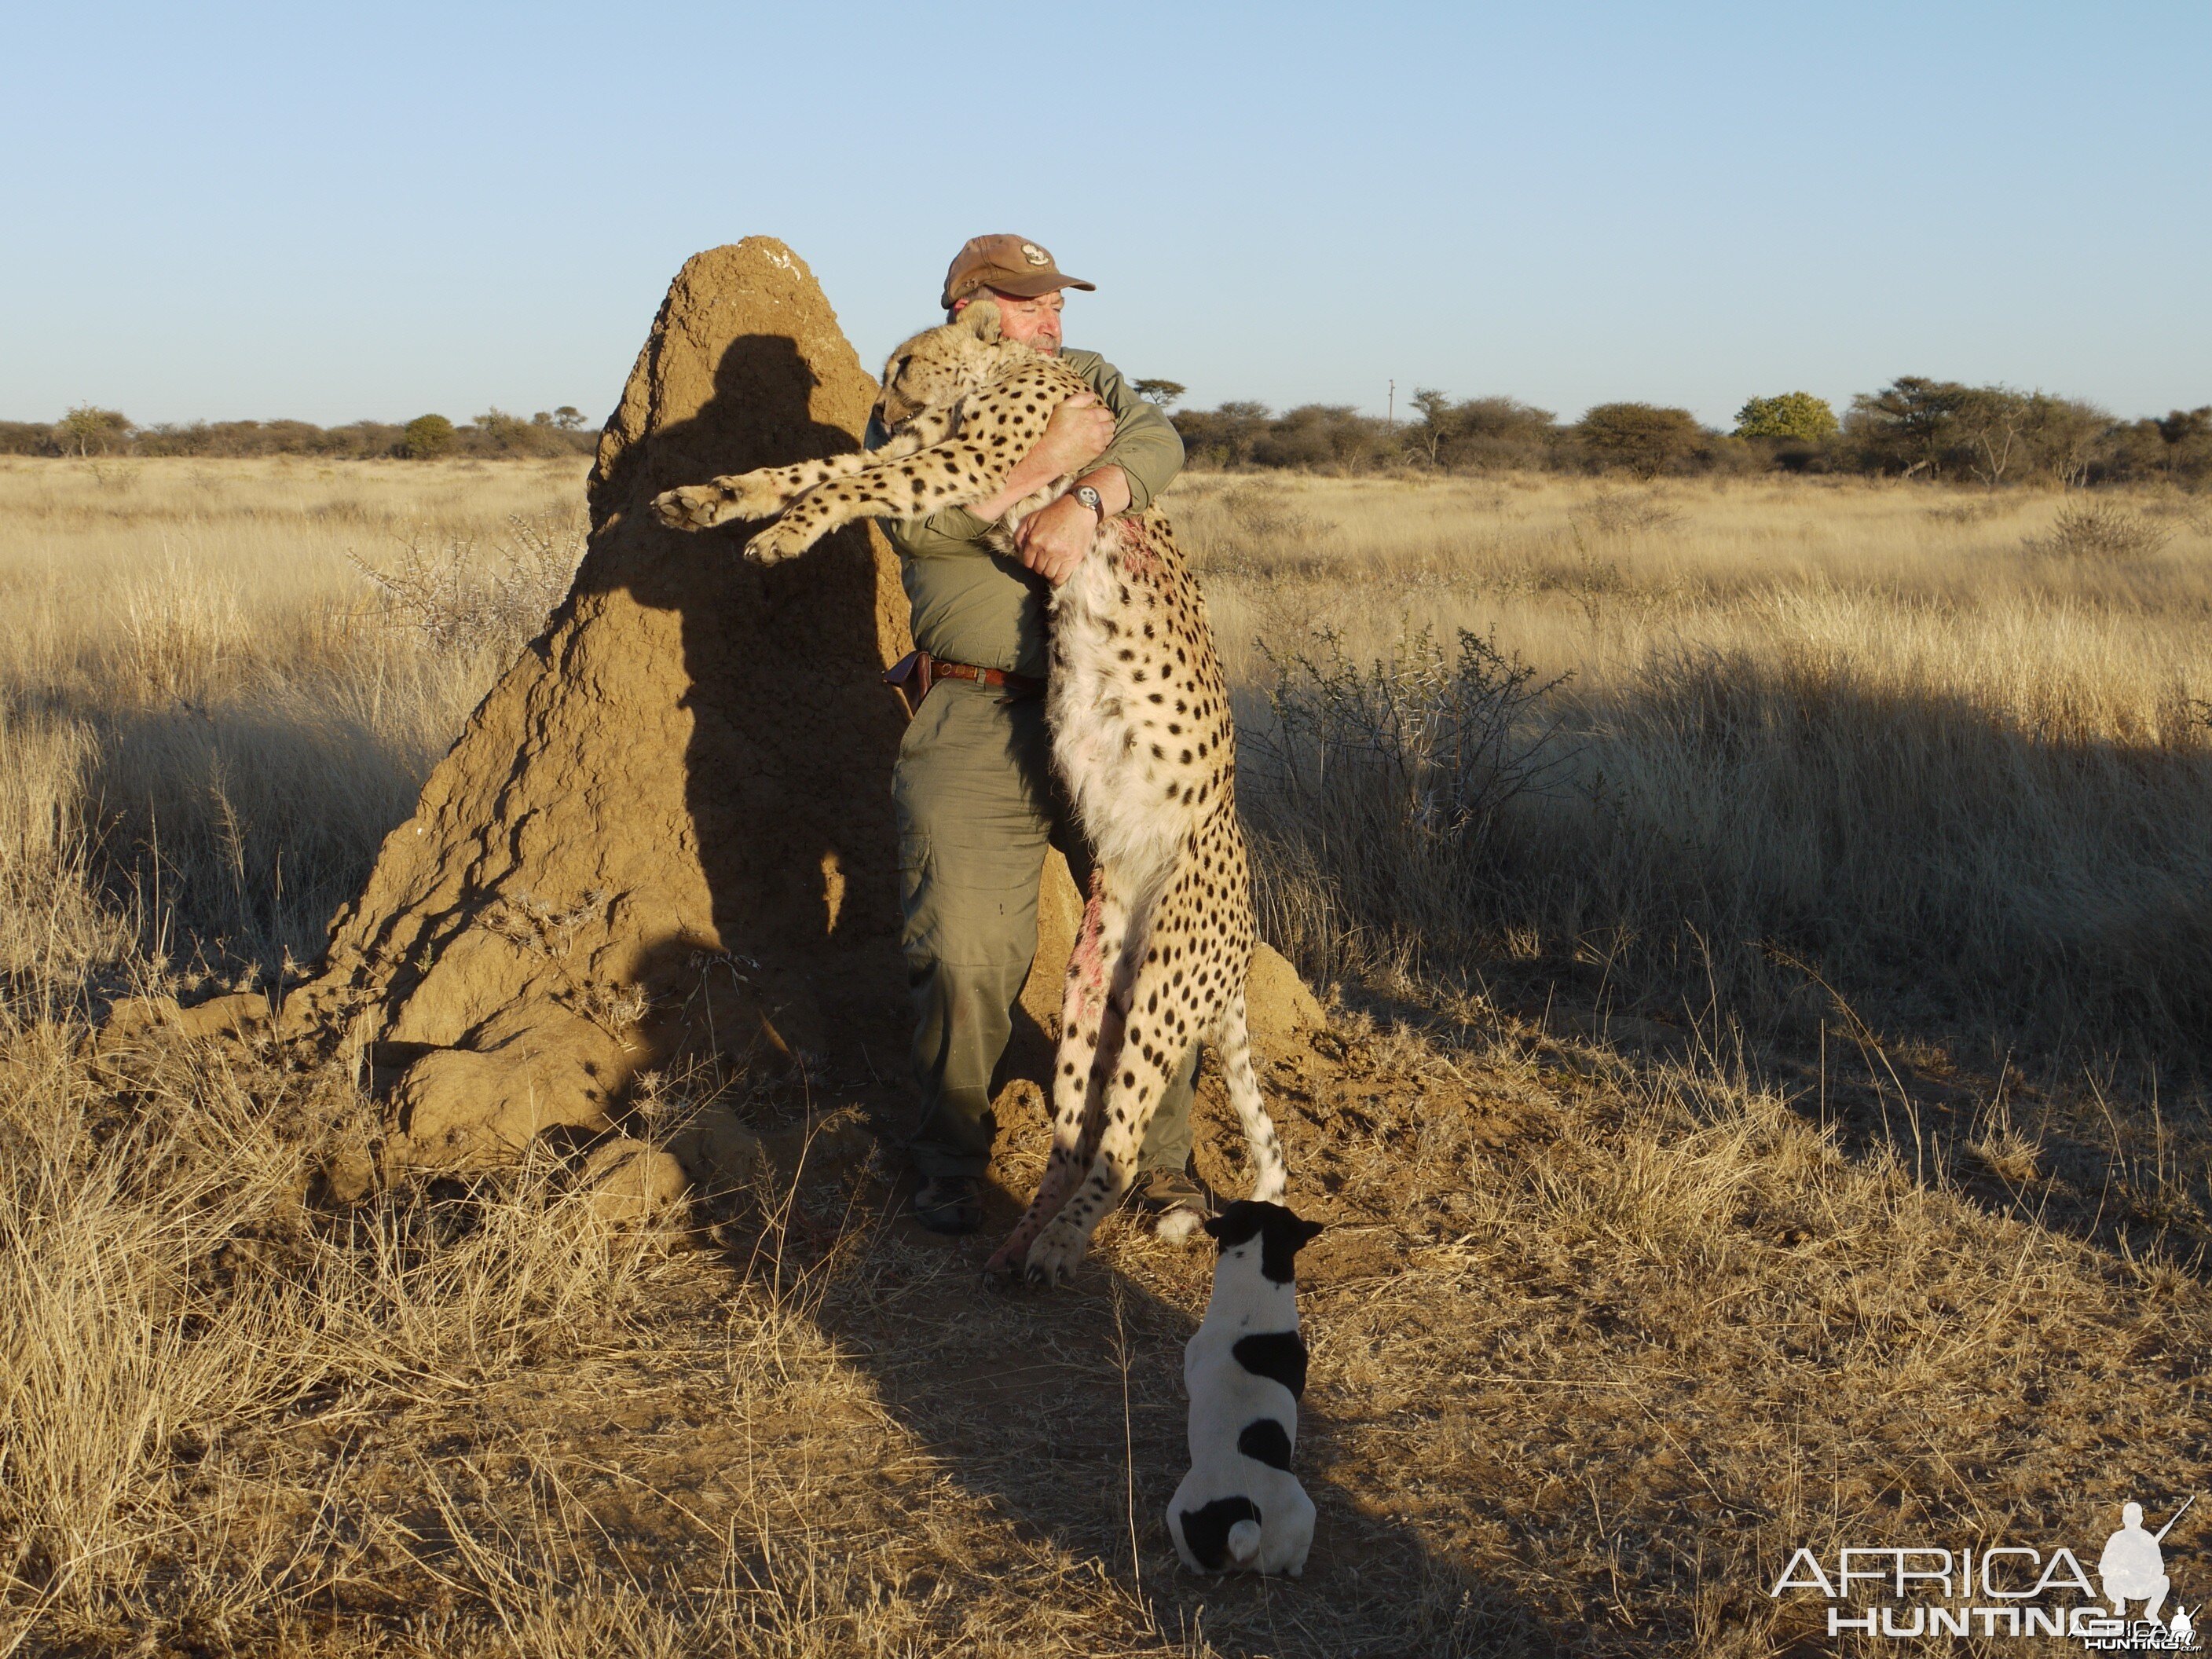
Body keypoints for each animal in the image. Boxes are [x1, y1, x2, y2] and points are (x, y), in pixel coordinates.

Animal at [646, 302, 1291, 1283]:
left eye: (907, 363)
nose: (880, 403)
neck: (991, 377)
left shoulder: (976, 463)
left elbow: (860, 482)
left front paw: (784, 532)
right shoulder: (934, 453)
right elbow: (819, 469)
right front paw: (708, 500)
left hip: (1159, 996)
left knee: (1121, 1144)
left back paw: (1056, 1251)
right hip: (1090, 997)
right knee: (1076, 1138)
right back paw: (1020, 1238)